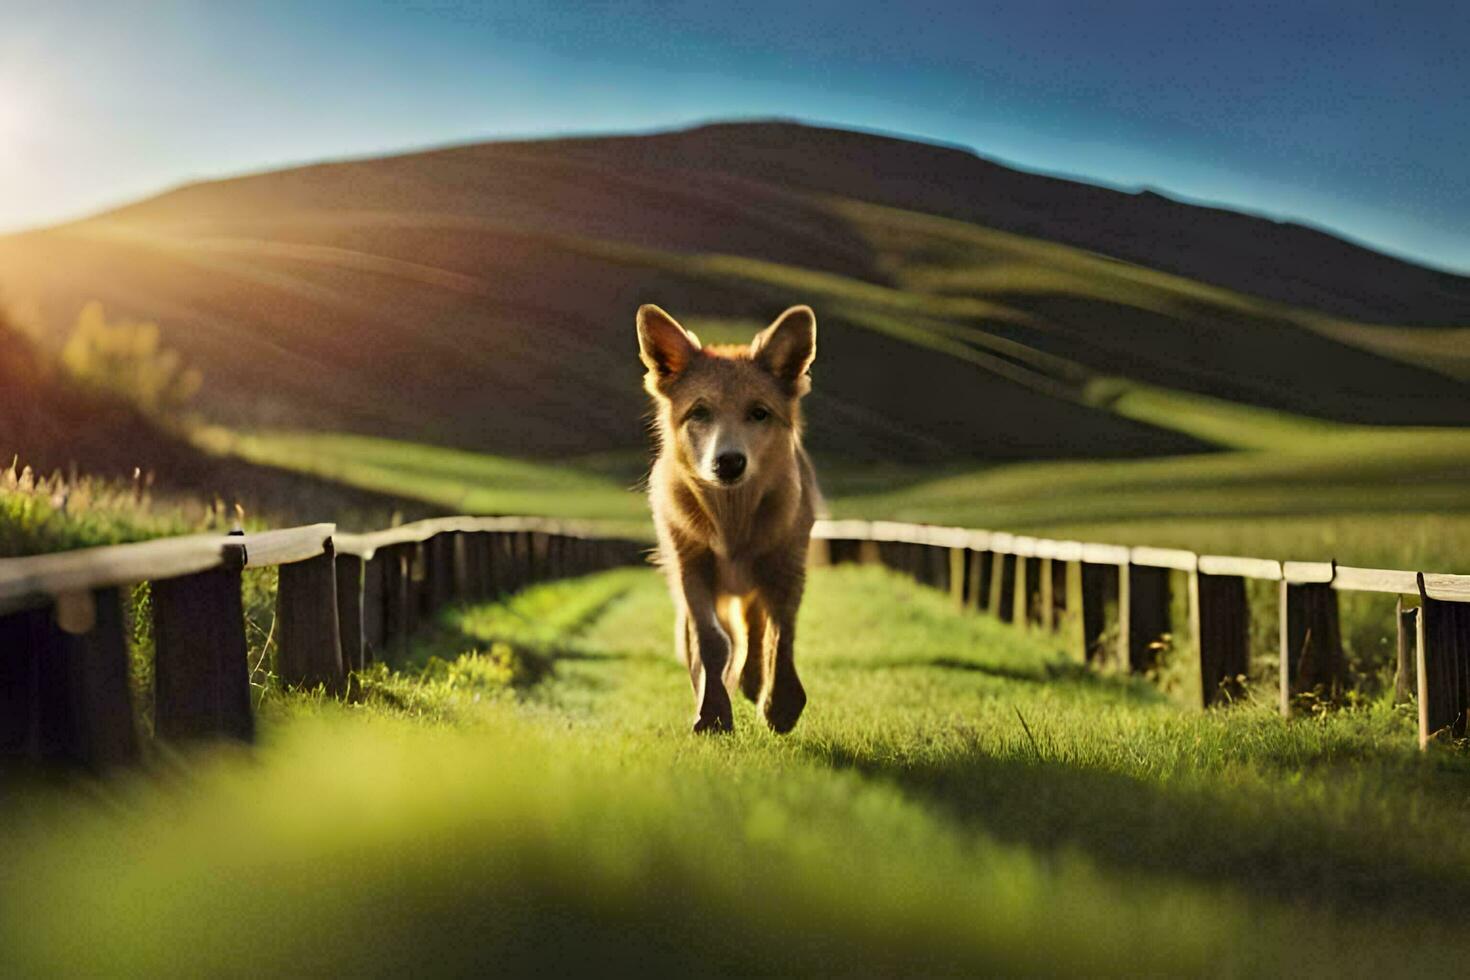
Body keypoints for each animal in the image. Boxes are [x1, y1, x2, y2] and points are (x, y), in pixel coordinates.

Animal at [635, 307, 823, 734]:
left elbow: (779, 635)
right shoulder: (691, 567)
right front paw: (713, 712)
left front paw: (780, 703)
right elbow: (711, 642)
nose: (730, 461)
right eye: (699, 412)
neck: (732, 519)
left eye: (759, 413)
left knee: (754, 631)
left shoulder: (786, 564)